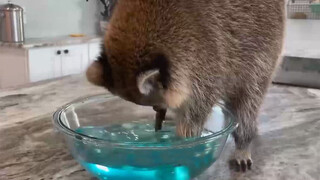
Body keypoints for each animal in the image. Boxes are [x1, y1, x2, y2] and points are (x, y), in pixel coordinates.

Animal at [85, 0, 284, 172]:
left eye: (156, 104)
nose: (157, 127)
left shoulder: (206, 61)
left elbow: (193, 118)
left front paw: (181, 147)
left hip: (263, 46)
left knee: (249, 99)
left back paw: (244, 140)